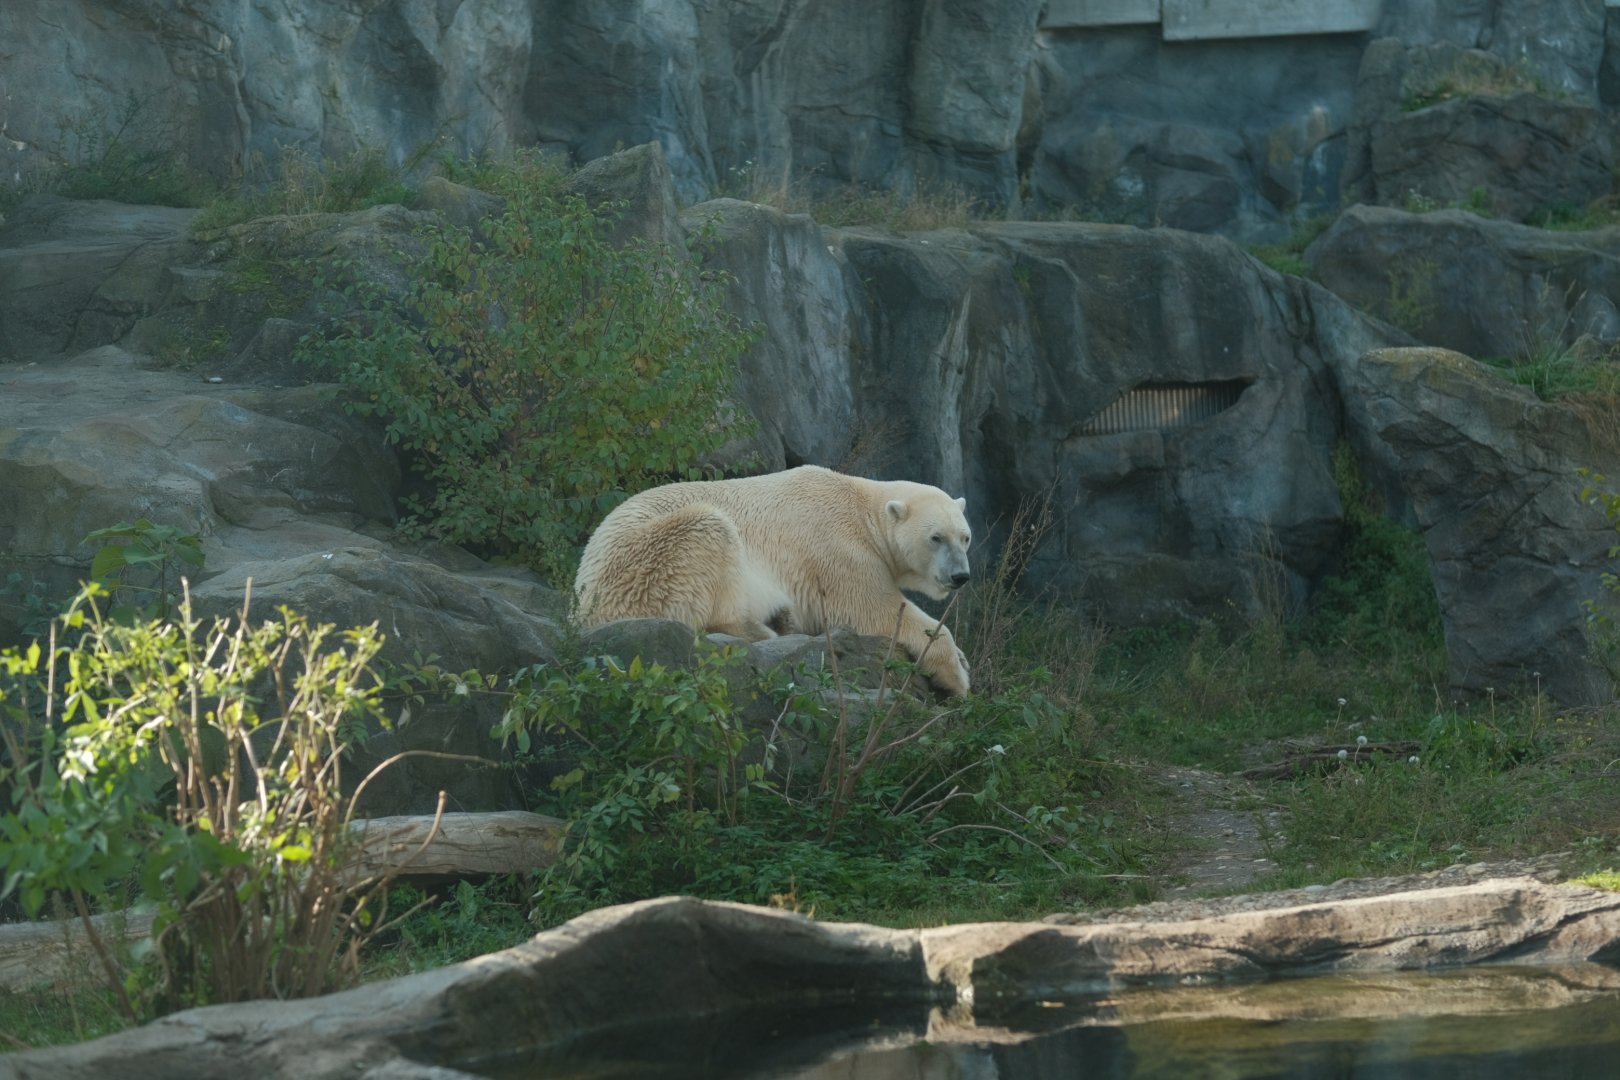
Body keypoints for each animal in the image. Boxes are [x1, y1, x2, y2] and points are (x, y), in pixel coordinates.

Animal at [573, 465, 974, 695]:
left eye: (965, 537)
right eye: (936, 537)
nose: (960, 576)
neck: (863, 508)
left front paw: (963, 660)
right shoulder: (837, 548)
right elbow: (874, 609)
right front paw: (957, 678)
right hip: (647, 563)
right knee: (709, 533)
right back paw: (765, 629)